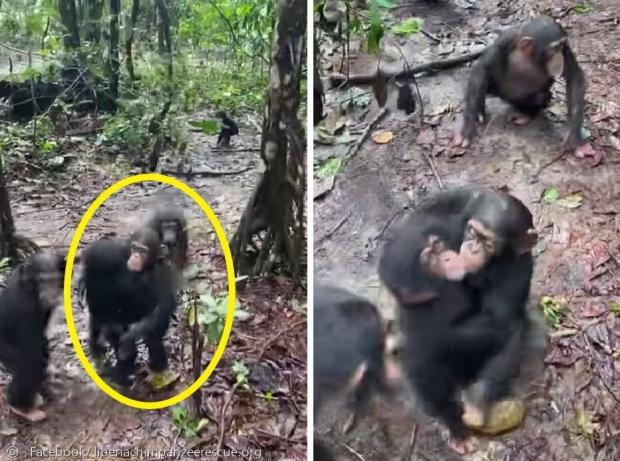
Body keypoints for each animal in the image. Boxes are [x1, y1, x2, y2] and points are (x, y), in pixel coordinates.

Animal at [0, 252, 66, 420]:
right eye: (42, 280)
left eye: (53, 279)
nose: (49, 291)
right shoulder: (26, 306)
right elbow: (31, 352)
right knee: (30, 364)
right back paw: (22, 408)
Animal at [83, 227, 177, 384]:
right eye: (134, 248)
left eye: (143, 251)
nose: (136, 256)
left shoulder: (164, 273)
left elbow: (160, 309)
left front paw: (126, 344)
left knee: (153, 337)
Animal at [378, 187, 536, 452]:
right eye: (473, 232)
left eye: (488, 243)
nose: (472, 247)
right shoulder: (454, 198)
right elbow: (408, 231)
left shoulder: (521, 267)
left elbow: (501, 317)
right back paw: (454, 426)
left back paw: (475, 403)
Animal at [452, 16, 600, 160]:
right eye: (554, 48)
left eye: (562, 46)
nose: (559, 57)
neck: (530, 56)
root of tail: (506, 99)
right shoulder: (503, 41)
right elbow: (482, 69)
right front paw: (468, 128)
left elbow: (574, 76)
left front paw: (576, 142)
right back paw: (480, 110)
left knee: (541, 97)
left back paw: (525, 114)